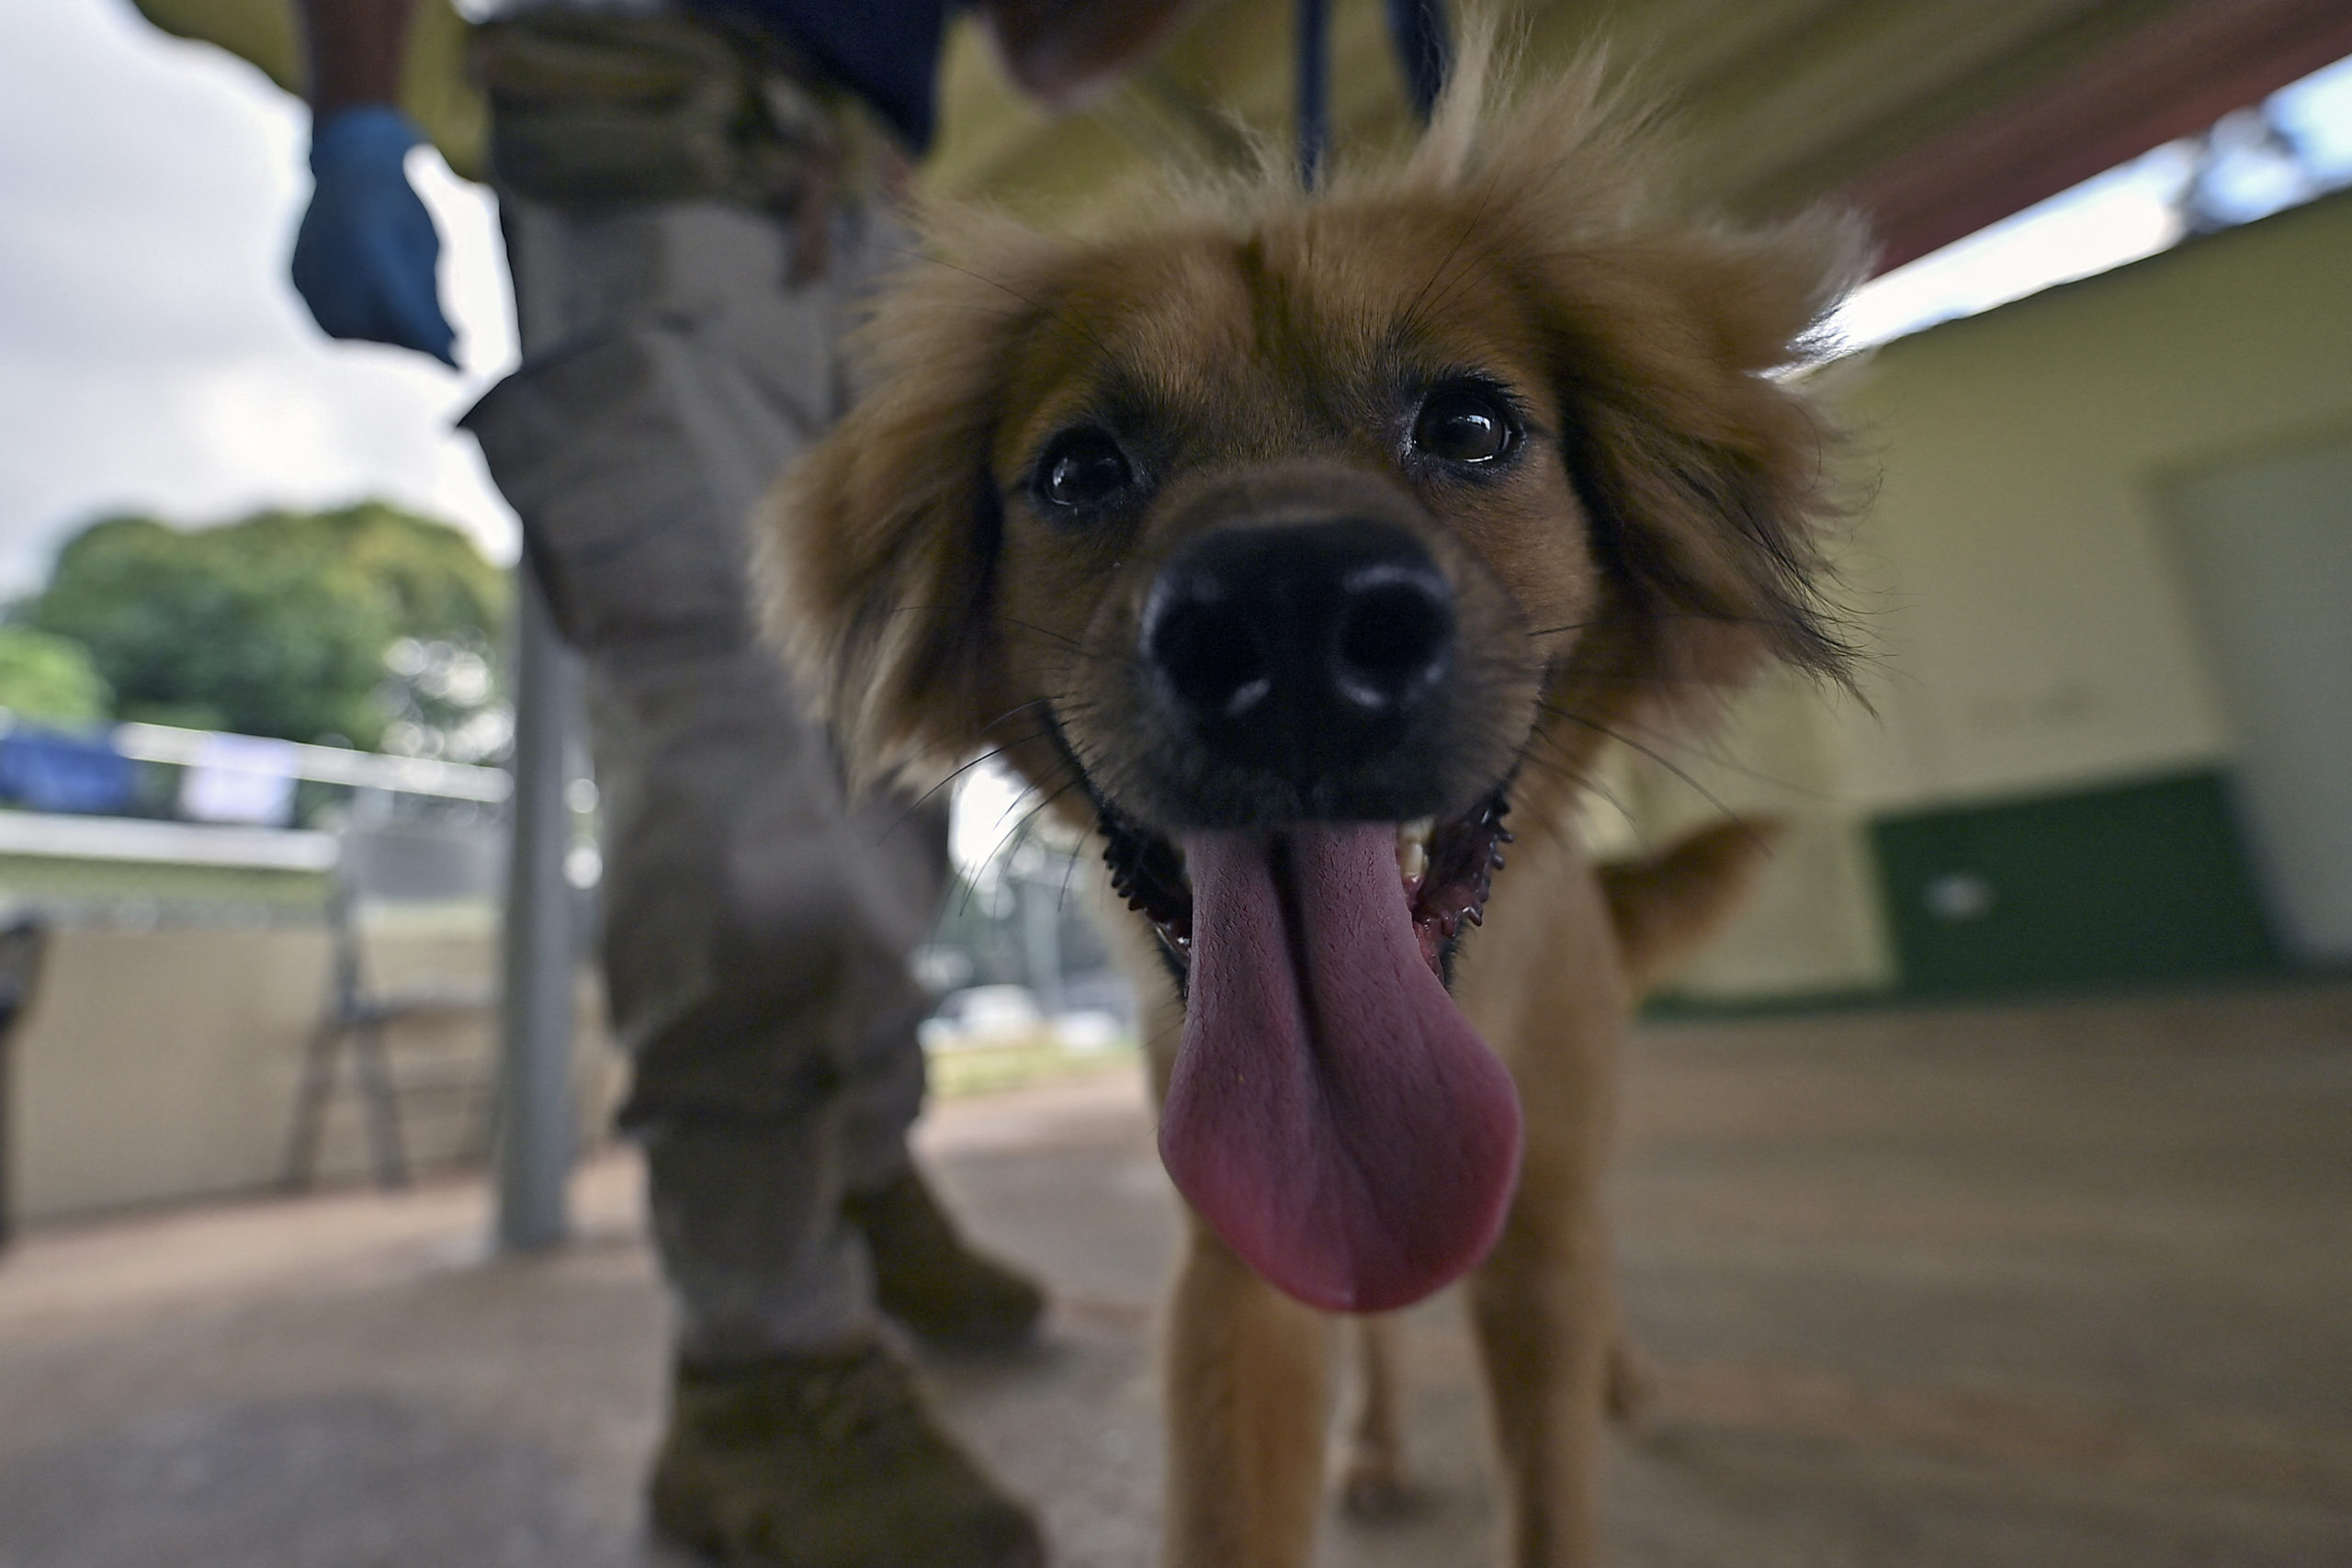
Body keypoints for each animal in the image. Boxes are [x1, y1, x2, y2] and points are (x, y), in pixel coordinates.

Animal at [762, 36, 1862, 1568]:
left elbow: (1555, 1468)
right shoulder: (1239, 1273)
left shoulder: (1536, 1246)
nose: (1288, 625)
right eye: (1079, 467)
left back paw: (1623, 1377)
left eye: (1470, 423)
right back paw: (1381, 1445)